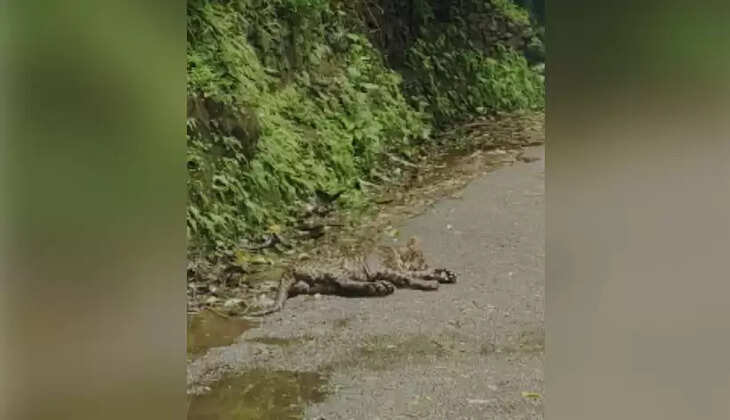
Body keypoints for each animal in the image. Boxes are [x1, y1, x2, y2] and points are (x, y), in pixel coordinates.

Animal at [248, 237, 456, 316]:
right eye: (422, 258)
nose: (425, 263)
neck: (396, 253)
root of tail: (289, 266)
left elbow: (418, 273)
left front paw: (443, 274)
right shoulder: (384, 269)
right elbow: (410, 277)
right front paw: (430, 282)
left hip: (317, 285)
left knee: (343, 288)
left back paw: (378, 287)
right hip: (339, 268)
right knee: (346, 283)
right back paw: (378, 287)